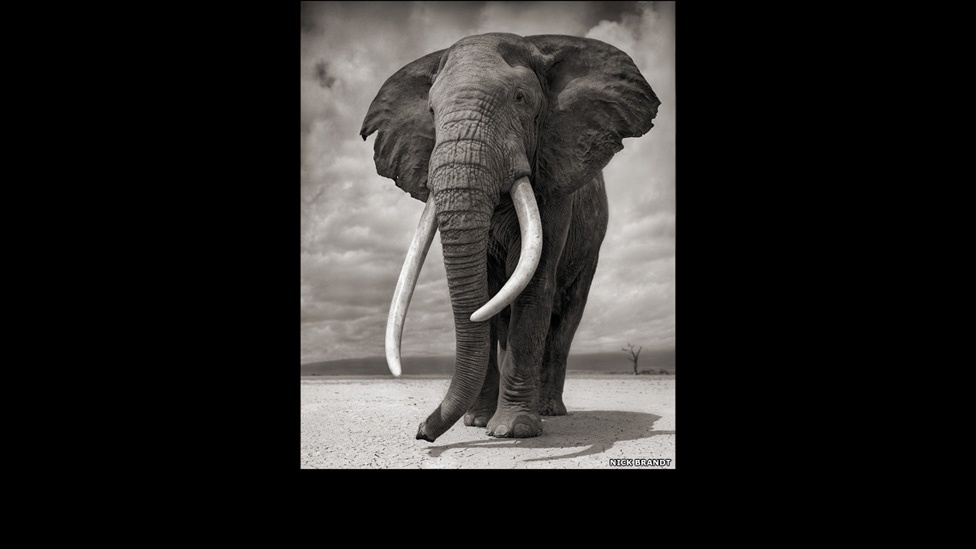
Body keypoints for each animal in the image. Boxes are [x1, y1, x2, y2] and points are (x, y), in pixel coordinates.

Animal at [360, 32, 660, 442]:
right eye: (432, 111)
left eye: (520, 99)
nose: (422, 431)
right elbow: (486, 294)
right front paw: (476, 422)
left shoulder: (555, 179)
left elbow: (532, 285)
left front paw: (511, 430)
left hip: (592, 247)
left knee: (567, 318)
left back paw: (550, 410)